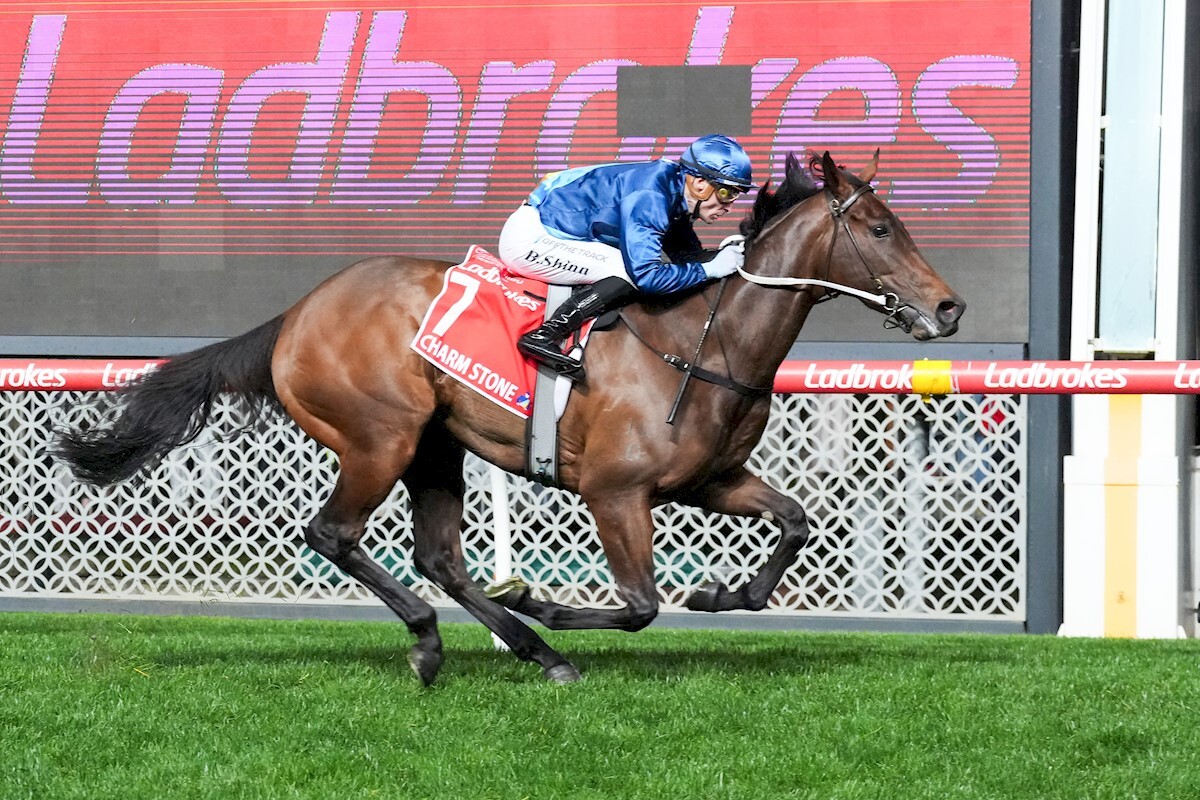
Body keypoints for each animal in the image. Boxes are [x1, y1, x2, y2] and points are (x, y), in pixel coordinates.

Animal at [55, 151, 965, 685]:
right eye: (880, 227)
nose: (949, 309)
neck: (705, 341)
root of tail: (297, 313)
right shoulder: (614, 492)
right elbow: (640, 603)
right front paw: (549, 604)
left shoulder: (711, 480)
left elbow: (796, 522)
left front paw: (723, 592)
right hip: (380, 438)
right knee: (336, 535)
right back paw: (445, 640)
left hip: (433, 446)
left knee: (438, 556)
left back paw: (532, 651)